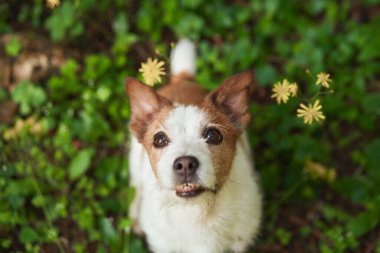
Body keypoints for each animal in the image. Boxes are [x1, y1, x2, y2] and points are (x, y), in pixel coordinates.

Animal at [124, 39, 262, 253]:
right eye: (159, 139)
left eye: (213, 135)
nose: (185, 164)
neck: (197, 211)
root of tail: (182, 80)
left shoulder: (240, 241)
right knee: (135, 186)